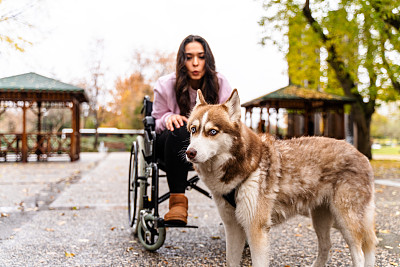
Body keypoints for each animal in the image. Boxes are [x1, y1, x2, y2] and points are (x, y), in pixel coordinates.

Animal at [186, 90, 376, 267]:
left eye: (212, 132)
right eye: (193, 129)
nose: (190, 152)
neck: (246, 167)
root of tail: (361, 154)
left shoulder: (256, 229)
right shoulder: (233, 227)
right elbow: (231, 261)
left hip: (346, 220)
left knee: (360, 253)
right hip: (320, 218)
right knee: (326, 246)